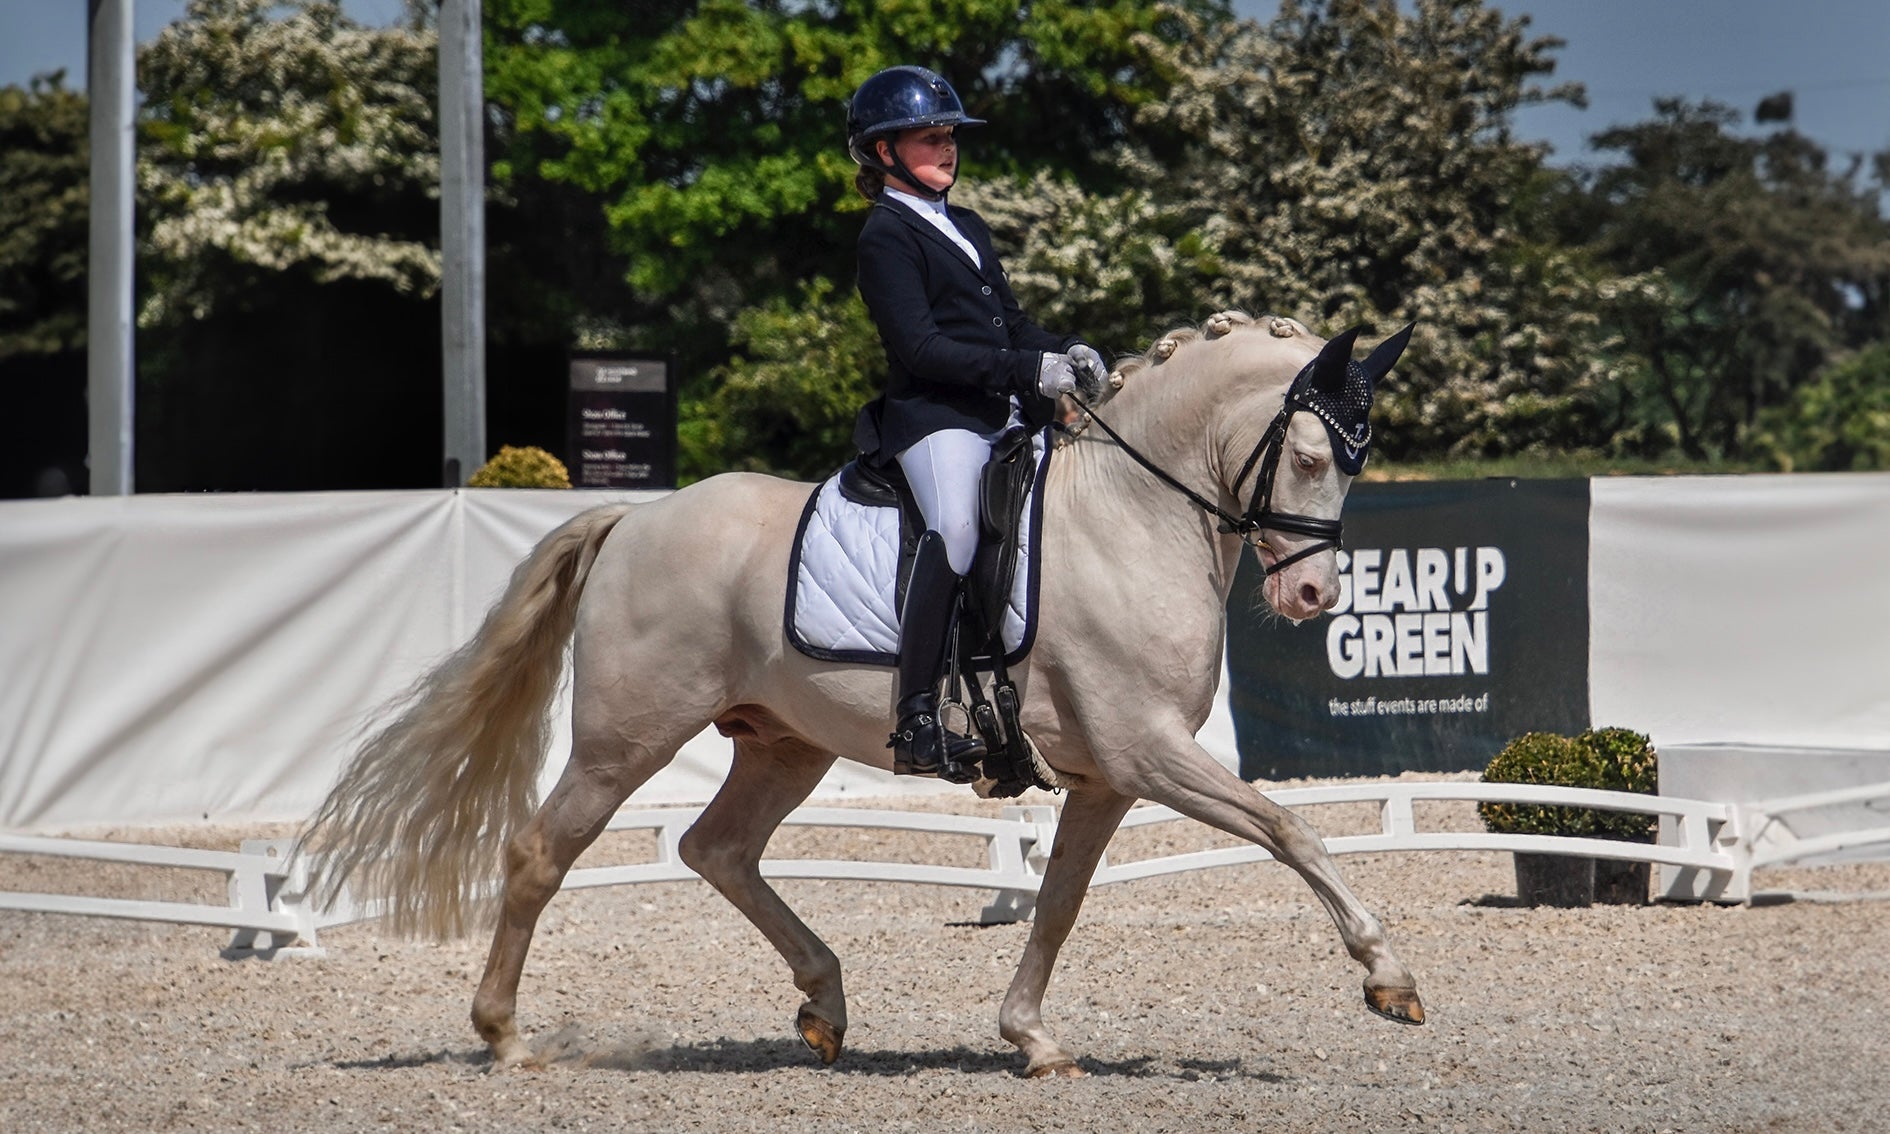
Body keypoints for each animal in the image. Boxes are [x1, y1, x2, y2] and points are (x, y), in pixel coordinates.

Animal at [298, 311, 1421, 1081]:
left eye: (1356, 463)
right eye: (1310, 456)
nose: (1312, 597)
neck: (1131, 516)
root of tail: (637, 519)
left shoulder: (1109, 774)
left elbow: (1060, 902)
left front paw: (1032, 1039)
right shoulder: (1146, 749)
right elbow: (1289, 829)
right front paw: (1387, 976)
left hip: (783, 743)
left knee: (719, 849)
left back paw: (824, 1005)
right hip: (629, 738)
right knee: (541, 852)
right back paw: (505, 1036)